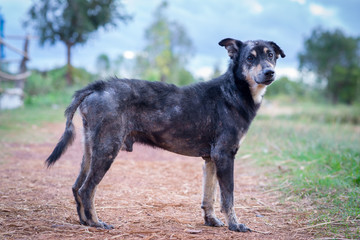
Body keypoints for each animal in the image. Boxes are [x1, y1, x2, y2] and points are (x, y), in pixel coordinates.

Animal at [46, 38, 286, 232]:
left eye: (270, 55)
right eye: (250, 58)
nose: (269, 72)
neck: (233, 91)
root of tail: (98, 87)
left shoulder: (211, 159)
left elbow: (209, 196)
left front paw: (211, 221)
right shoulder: (225, 156)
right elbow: (228, 198)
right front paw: (235, 225)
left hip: (91, 151)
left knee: (76, 187)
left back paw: (84, 222)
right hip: (107, 150)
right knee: (87, 189)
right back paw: (96, 223)